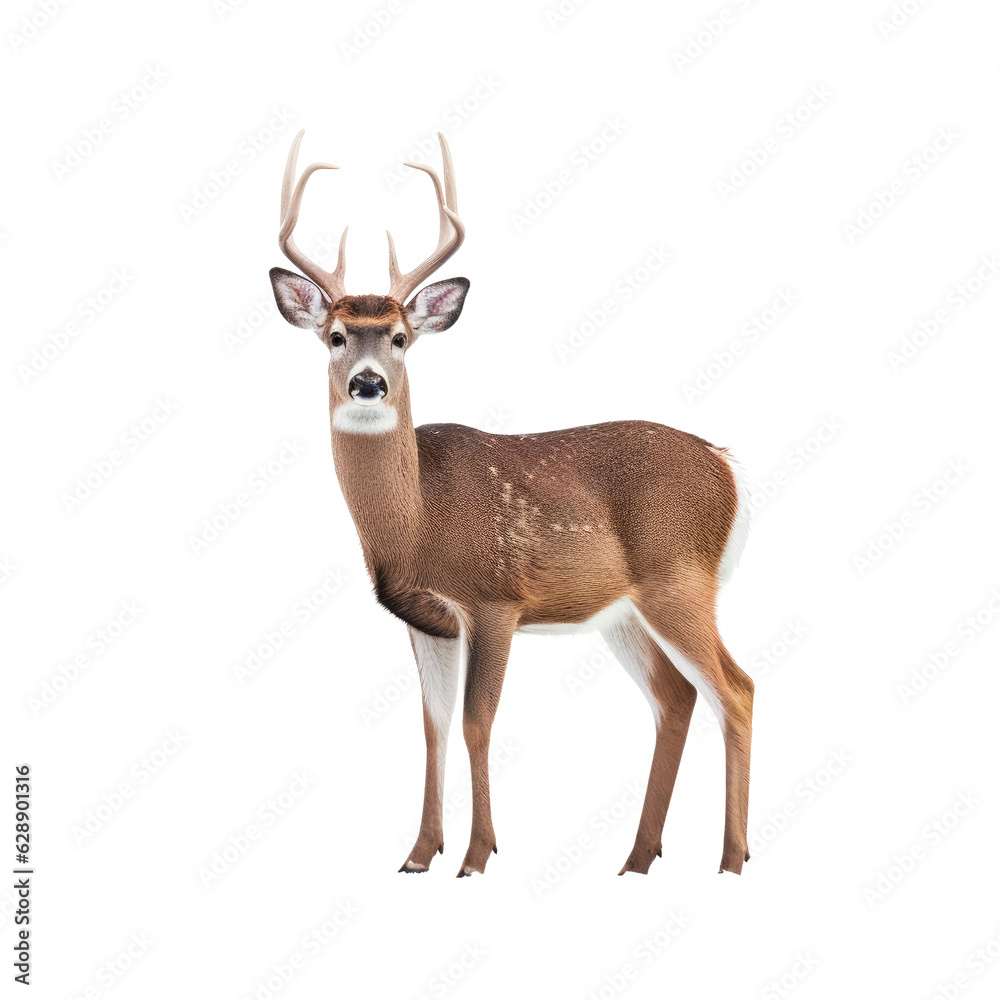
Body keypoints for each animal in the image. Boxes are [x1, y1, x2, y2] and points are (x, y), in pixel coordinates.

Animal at [268, 130, 755, 878]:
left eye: (401, 337)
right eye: (335, 336)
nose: (369, 384)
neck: (417, 521)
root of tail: (728, 466)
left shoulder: (494, 599)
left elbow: (477, 722)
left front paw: (476, 854)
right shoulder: (427, 620)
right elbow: (433, 724)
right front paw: (418, 854)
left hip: (681, 579)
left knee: (735, 689)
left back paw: (730, 858)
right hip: (625, 610)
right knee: (676, 698)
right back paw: (638, 858)